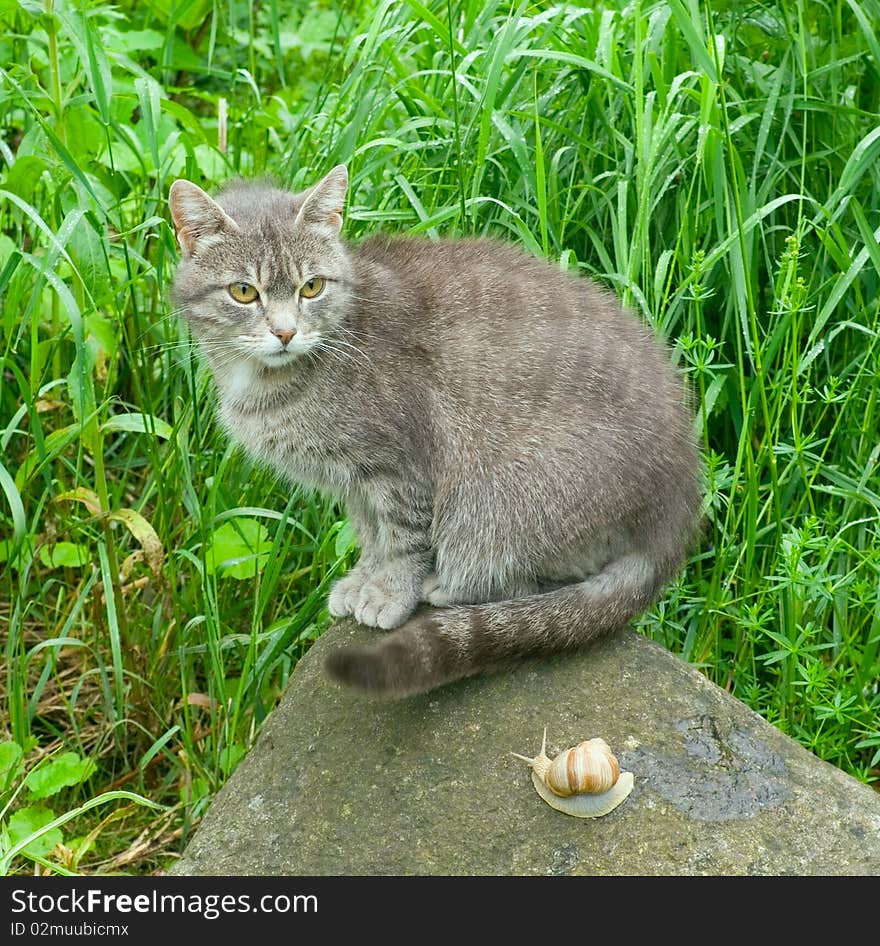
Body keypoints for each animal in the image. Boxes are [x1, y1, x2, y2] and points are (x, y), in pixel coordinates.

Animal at [167, 164, 700, 692]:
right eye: (243, 292)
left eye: (312, 287)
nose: (285, 332)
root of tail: (674, 517)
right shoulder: (355, 484)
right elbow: (372, 536)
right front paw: (364, 579)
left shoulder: (402, 467)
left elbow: (404, 540)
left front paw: (388, 593)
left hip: (498, 504)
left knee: (535, 580)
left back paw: (450, 587)